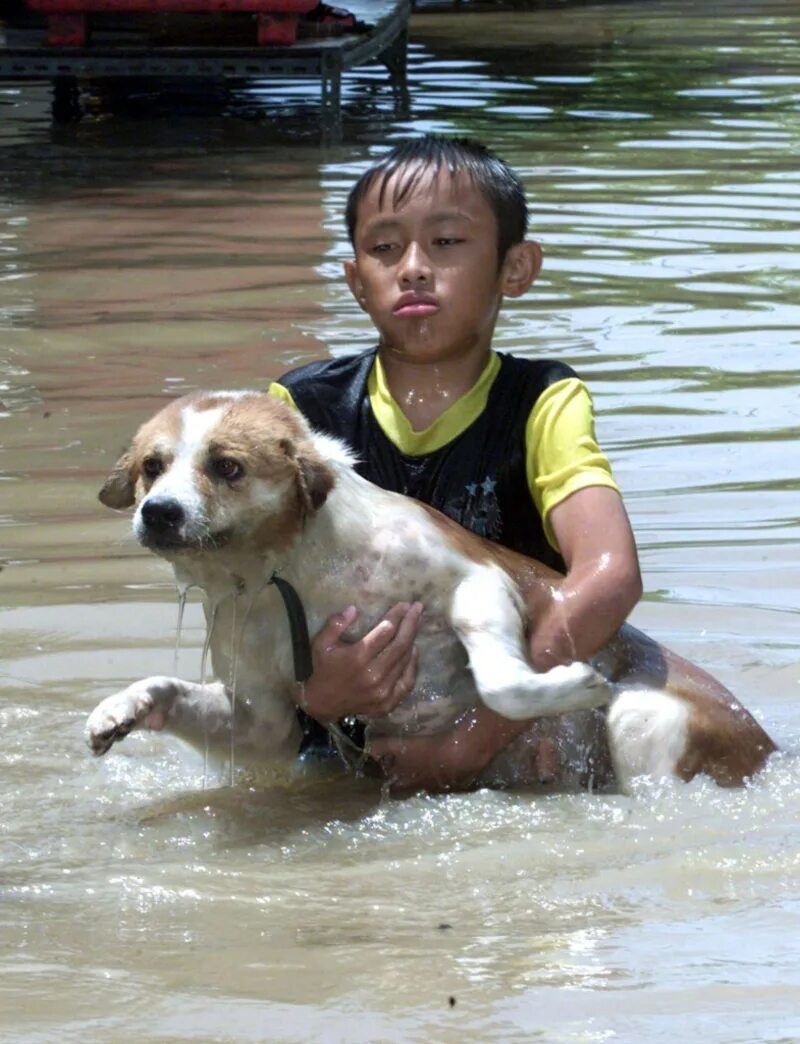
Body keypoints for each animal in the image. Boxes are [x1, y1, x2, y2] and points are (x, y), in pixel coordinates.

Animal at [86, 392, 777, 789]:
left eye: (227, 466)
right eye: (152, 466)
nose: (159, 512)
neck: (294, 569)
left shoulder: (480, 581)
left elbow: (498, 680)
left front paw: (564, 686)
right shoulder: (263, 719)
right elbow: (178, 690)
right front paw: (124, 708)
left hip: (643, 718)